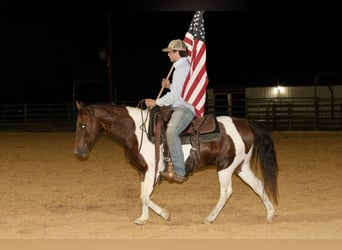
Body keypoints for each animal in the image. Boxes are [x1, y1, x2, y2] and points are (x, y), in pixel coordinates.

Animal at [74, 100, 278, 226]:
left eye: (82, 125)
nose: (78, 152)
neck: (136, 130)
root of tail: (245, 123)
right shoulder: (143, 171)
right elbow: (143, 195)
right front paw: (143, 218)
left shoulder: (153, 171)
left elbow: (144, 196)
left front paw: (165, 214)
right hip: (241, 167)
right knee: (258, 185)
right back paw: (270, 214)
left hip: (225, 167)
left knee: (226, 192)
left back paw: (209, 218)